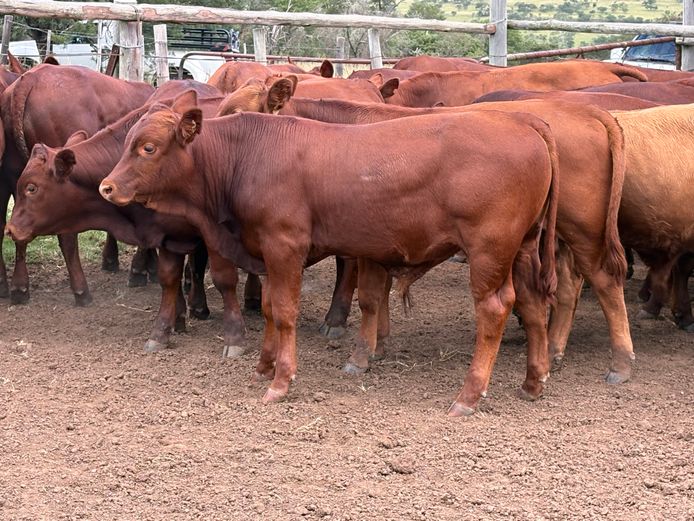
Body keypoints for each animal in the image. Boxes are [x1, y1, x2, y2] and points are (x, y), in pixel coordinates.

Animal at [99, 90, 560, 416]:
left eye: (148, 148)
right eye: (129, 142)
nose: (107, 186)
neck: (247, 155)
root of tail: (525, 122)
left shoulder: (285, 245)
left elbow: (285, 311)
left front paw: (281, 381)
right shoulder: (266, 252)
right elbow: (269, 307)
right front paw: (264, 365)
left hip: (488, 251)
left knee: (494, 309)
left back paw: (469, 395)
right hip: (522, 249)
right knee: (533, 304)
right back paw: (532, 383)